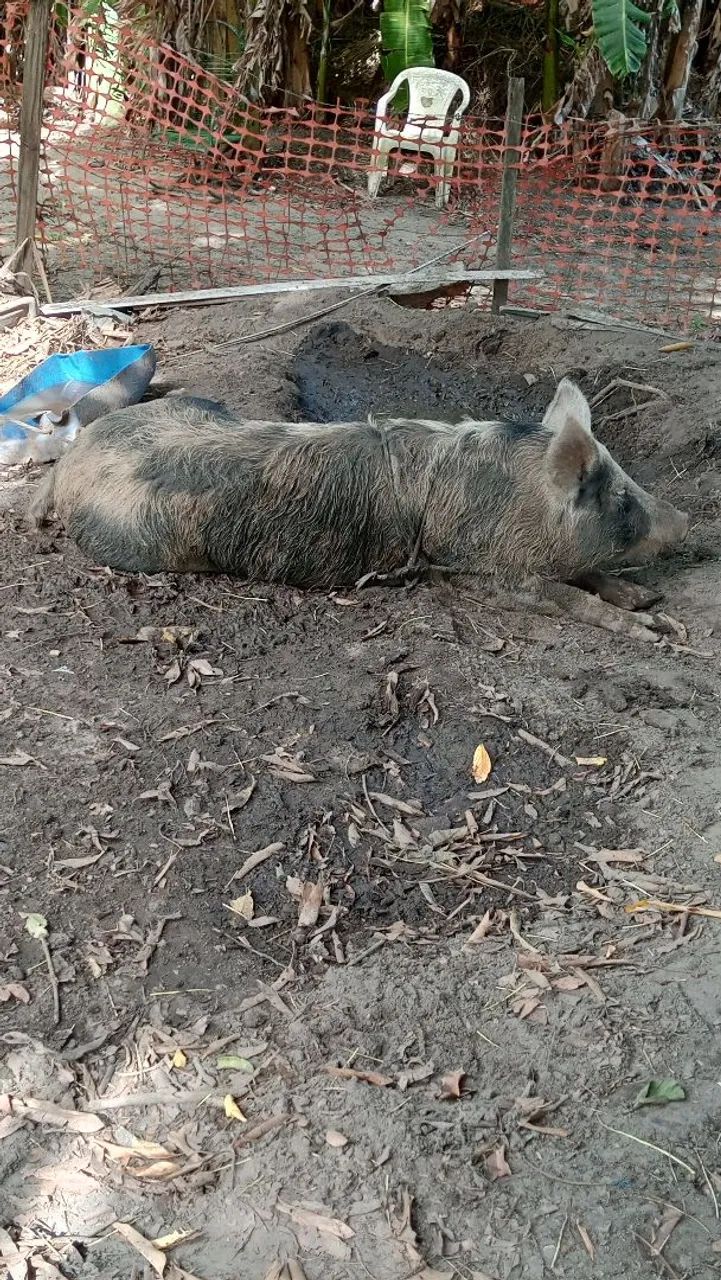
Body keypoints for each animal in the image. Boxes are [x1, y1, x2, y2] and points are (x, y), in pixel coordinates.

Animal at [30, 379, 688, 641]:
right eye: (622, 499)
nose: (688, 521)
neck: (518, 500)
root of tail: (71, 459)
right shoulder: (478, 572)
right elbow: (567, 598)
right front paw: (653, 629)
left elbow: (591, 574)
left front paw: (649, 602)